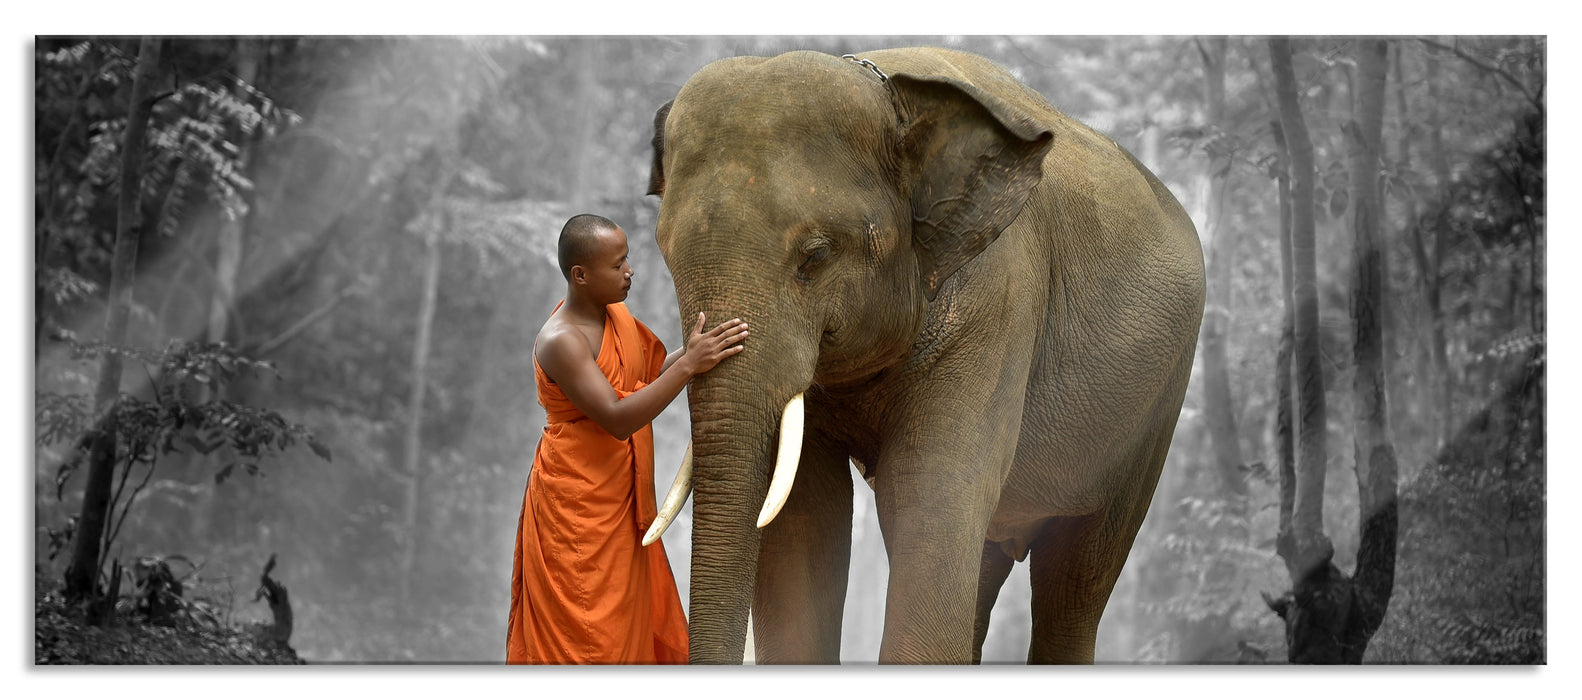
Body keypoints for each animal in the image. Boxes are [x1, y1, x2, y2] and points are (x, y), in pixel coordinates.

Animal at [640, 46, 1206, 664]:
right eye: (665, 253)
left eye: (815, 257)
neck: (891, 93)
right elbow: (806, 511)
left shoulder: (998, 301)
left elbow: (929, 492)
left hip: (1155, 410)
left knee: (1078, 575)